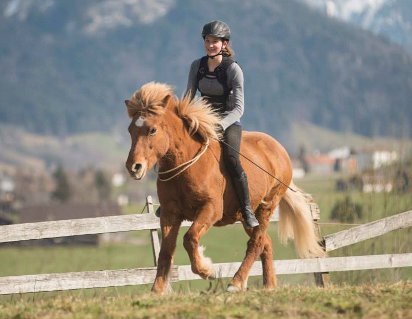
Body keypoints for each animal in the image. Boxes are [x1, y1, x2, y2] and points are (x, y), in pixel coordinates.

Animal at [124, 82, 324, 296]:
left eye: (152, 130)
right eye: (130, 130)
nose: (134, 167)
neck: (185, 166)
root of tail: (279, 149)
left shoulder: (211, 209)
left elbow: (190, 238)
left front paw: (207, 270)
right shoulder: (170, 214)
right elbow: (166, 250)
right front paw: (157, 290)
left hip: (267, 206)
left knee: (256, 243)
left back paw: (237, 282)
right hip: (246, 216)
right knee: (266, 243)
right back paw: (268, 285)